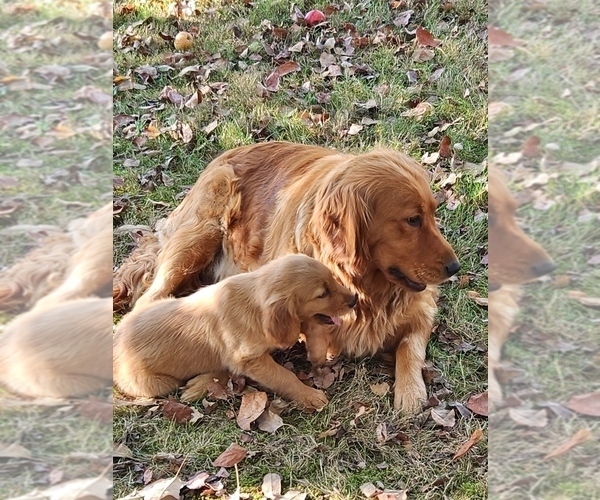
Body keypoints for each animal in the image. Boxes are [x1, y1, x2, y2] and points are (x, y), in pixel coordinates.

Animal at [113, 254, 356, 410]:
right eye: (322, 294)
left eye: (333, 278)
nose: (355, 299)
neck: (254, 301)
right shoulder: (250, 359)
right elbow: (284, 376)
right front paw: (310, 395)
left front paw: (318, 352)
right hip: (153, 383)